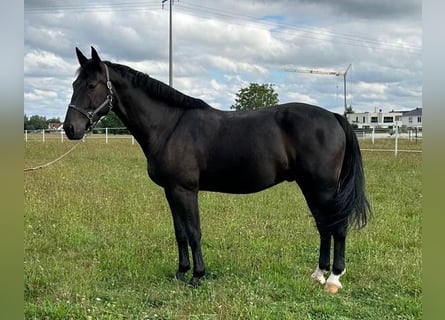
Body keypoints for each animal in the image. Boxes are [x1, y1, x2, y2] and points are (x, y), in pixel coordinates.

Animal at [62, 47, 368, 290]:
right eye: (75, 83)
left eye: (92, 85)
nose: (70, 128)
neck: (169, 126)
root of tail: (334, 116)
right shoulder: (171, 191)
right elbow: (180, 233)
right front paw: (181, 273)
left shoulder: (186, 190)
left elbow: (194, 232)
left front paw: (197, 276)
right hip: (311, 187)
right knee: (324, 226)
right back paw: (318, 274)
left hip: (323, 187)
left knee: (337, 227)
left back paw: (333, 279)